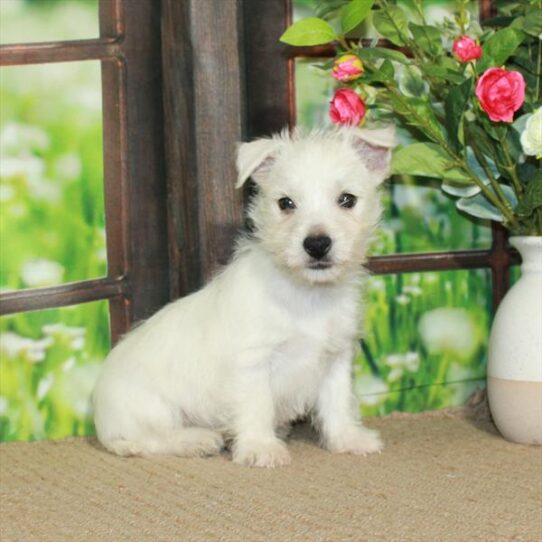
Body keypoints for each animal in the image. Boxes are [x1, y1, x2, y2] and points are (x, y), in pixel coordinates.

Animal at [94, 126, 396, 468]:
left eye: (347, 199)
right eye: (286, 203)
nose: (317, 245)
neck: (306, 294)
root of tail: (98, 412)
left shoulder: (336, 359)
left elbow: (338, 403)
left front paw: (348, 439)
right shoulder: (253, 363)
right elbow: (257, 406)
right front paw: (261, 448)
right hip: (151, 409)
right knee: (144, 441)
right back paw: (195, 440)